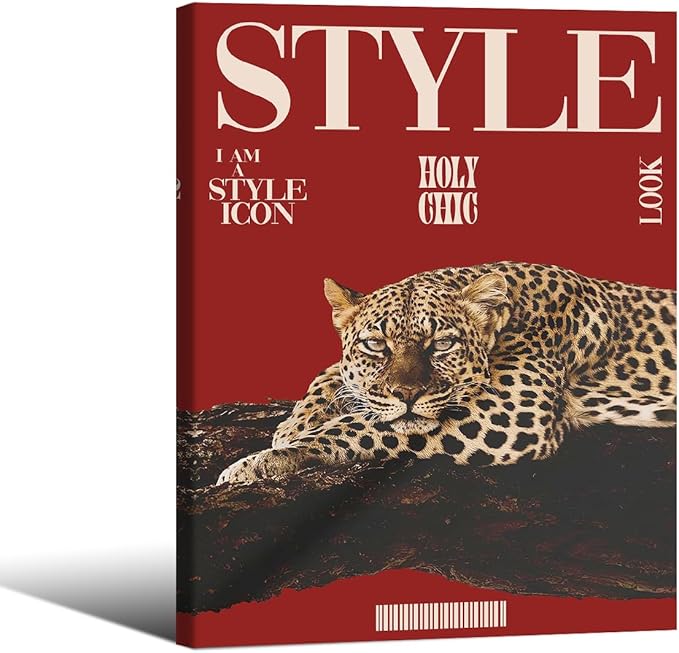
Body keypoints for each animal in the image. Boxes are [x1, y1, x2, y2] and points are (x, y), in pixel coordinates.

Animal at [217, 262, 676, 485]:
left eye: (441, 344)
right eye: (376, 345)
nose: (407, 394)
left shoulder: (511, 410)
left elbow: (358, 426)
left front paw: (259, 463)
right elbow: (334, 376)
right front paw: (295, 423)